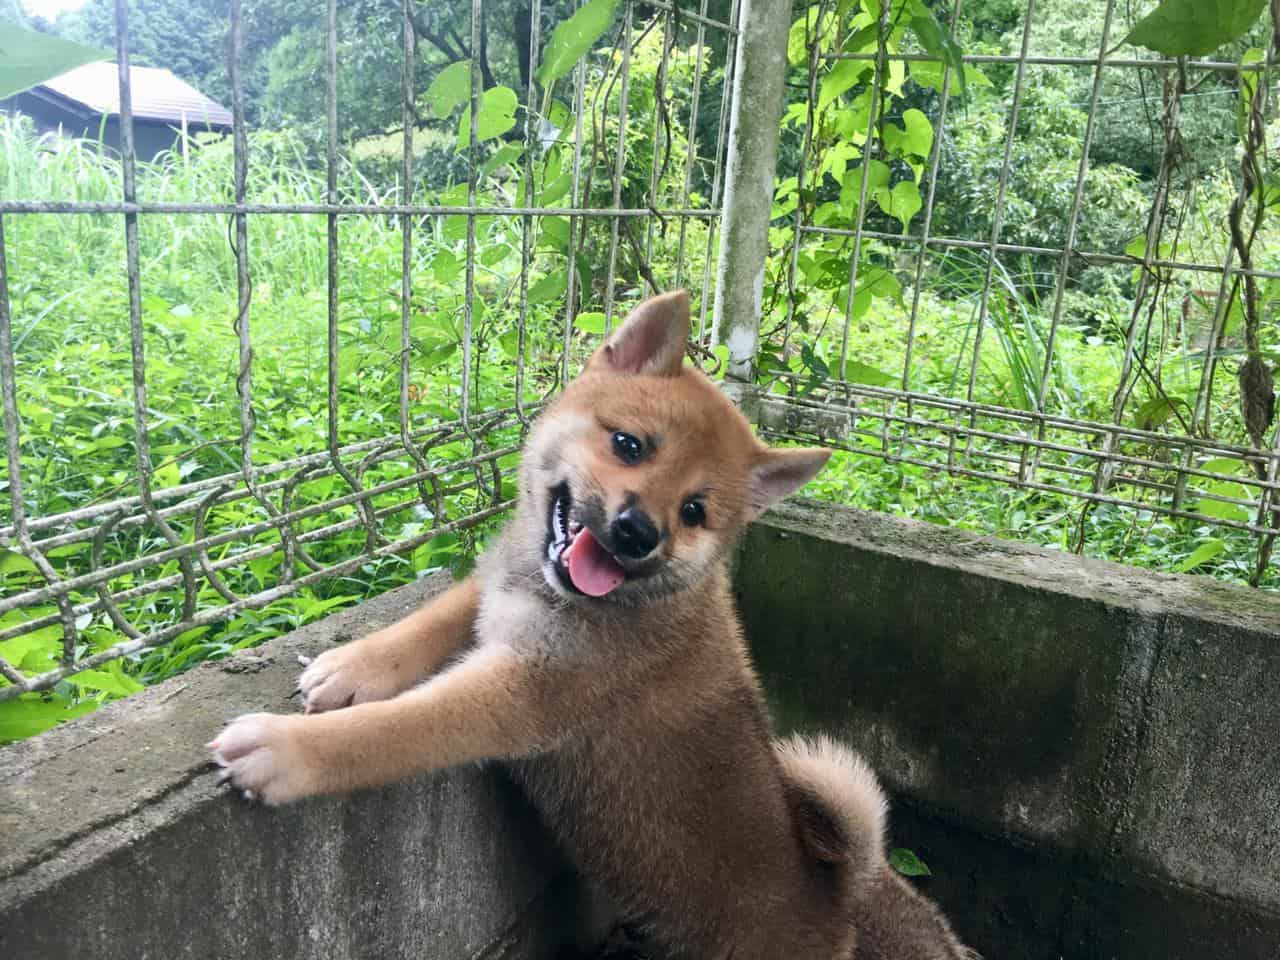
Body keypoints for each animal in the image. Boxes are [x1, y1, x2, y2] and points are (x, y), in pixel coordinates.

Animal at [209, 289, 967, 957]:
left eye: (695, 511)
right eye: (630, 445)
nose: (638, 532)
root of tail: (833, 902)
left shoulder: (525, 694)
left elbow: (391, 731)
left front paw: (284, 748)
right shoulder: (494, 585)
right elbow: (426, 624)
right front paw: (351, 665)